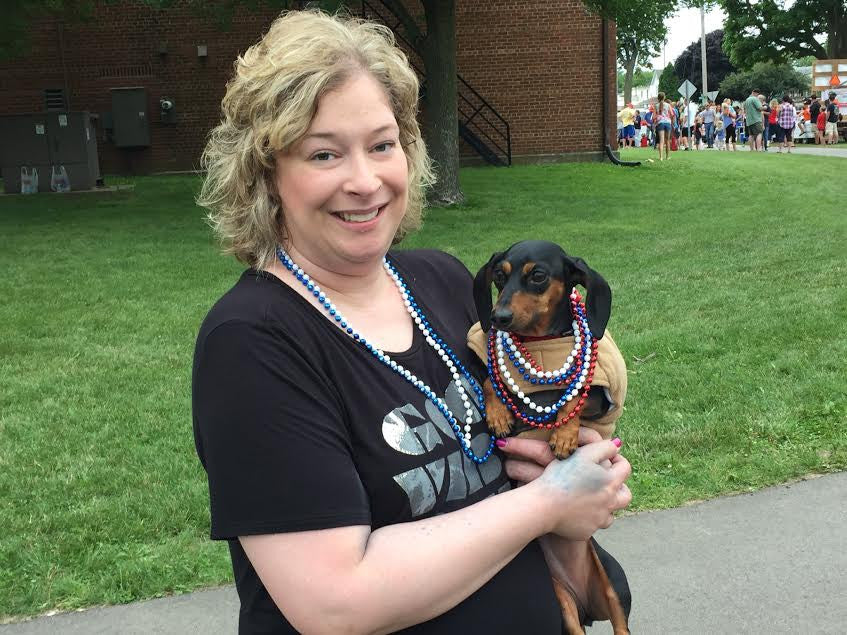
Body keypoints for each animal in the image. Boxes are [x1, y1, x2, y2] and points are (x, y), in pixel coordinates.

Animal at [467, 240, 630, 634]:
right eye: (499, 276)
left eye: (538, 276)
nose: (499, 317)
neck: (541, 343)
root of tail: (587, 608)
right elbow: (491, 381)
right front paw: (499, 415)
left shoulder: (598, 398)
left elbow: (571, 396)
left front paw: (563, 437)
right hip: (563, 604)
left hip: (615, 583)